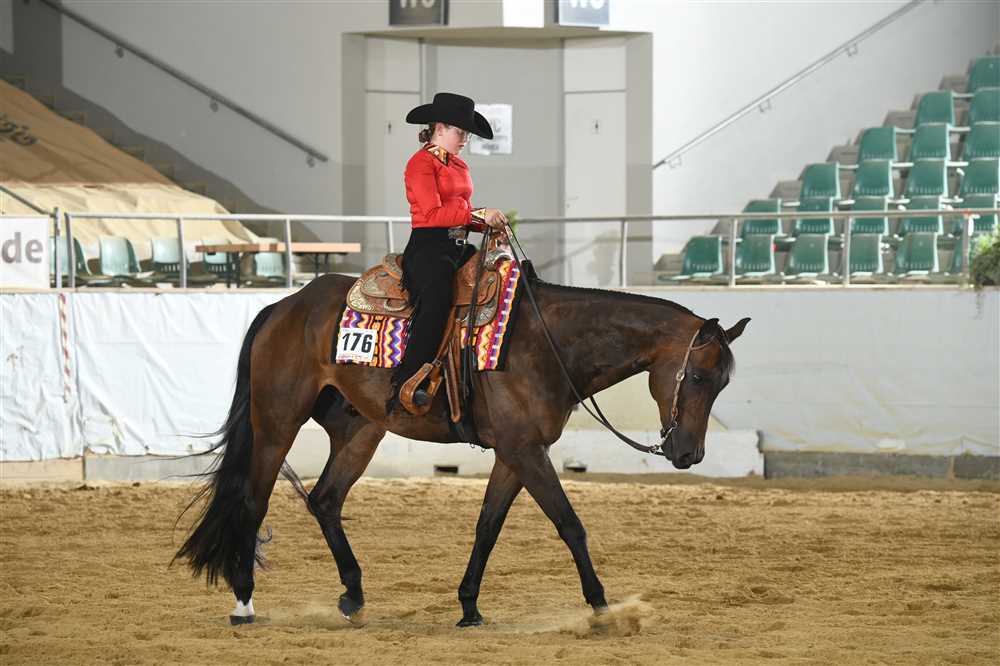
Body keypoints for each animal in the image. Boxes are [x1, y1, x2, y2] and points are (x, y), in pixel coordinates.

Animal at [174, 269, 750, 627]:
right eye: (699, 376)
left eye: (724, 384)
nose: (689, 456)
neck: (547, 343)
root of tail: (284, 306)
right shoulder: (526, 451)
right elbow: (570, 524)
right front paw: (602, 609)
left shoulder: (517, 453)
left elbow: (487, 526)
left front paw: (469, 607)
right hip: (276, 422)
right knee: (253, 502)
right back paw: (244, 603)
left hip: (360, 430)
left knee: (325, 500)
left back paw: (353, 595)